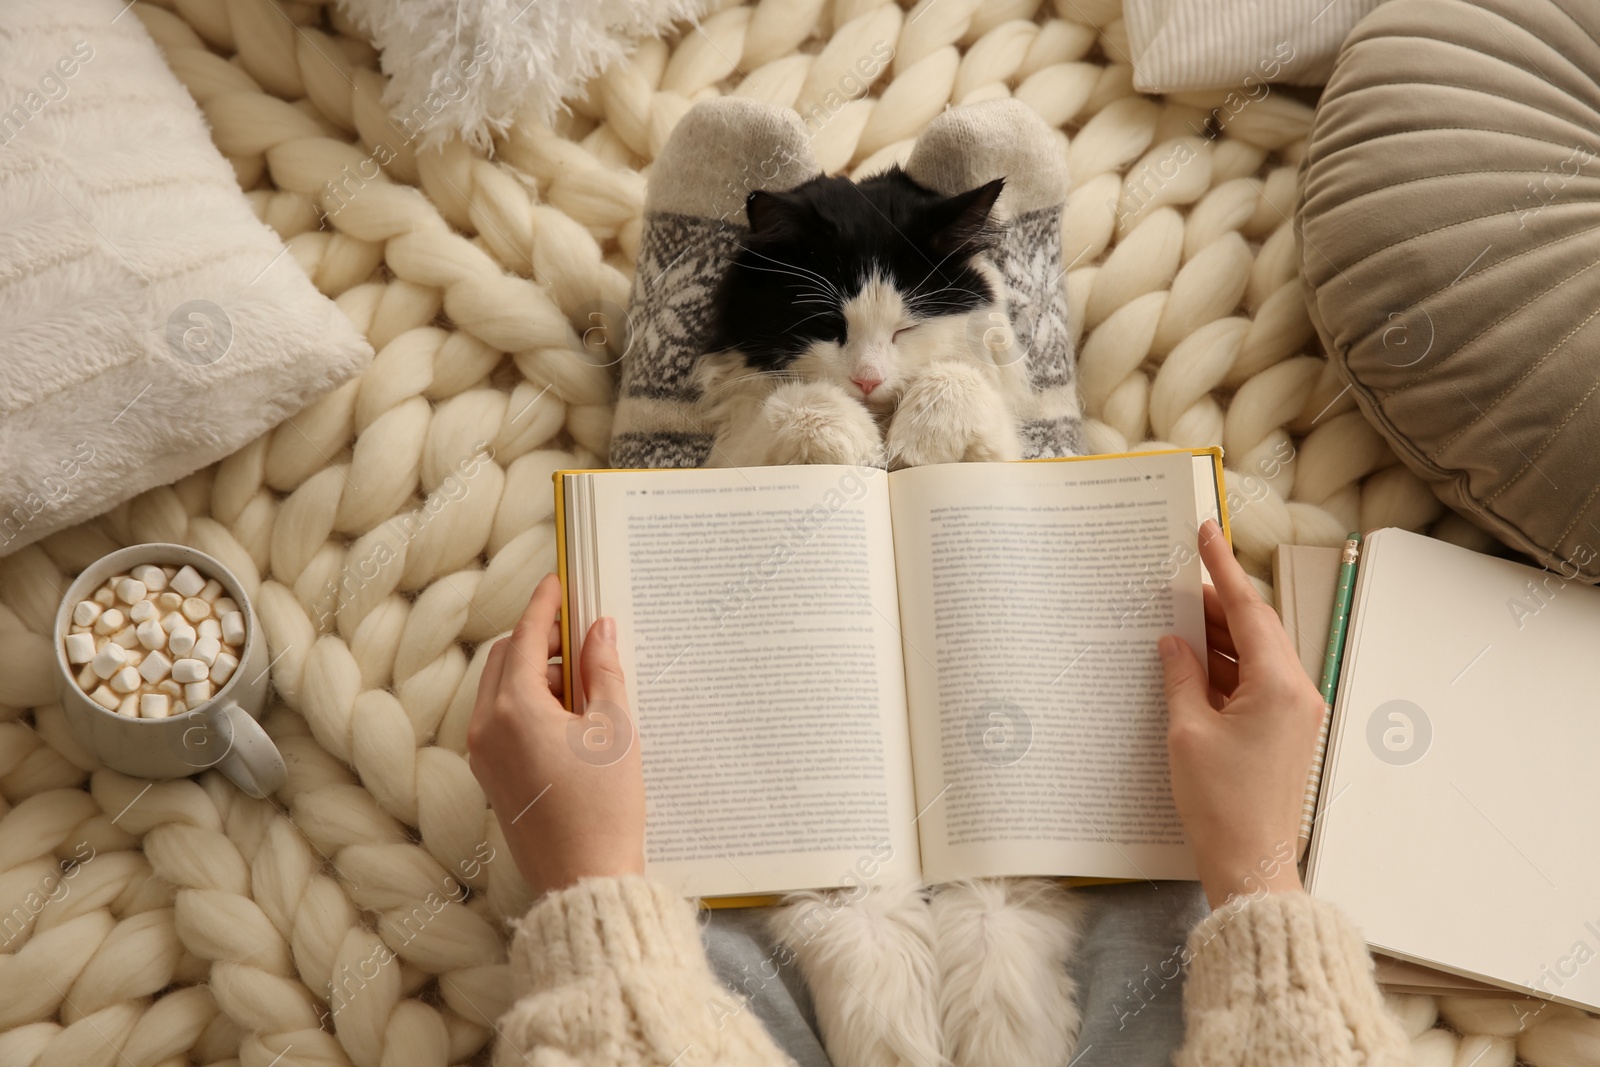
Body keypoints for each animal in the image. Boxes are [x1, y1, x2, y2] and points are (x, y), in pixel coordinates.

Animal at [694, 167, 1030, 467]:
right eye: (829, 324)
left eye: (906, 329)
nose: (868, 381)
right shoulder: (733, 448)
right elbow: (799, 398)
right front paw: (859, 448)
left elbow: (958, 374)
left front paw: (922, 443)